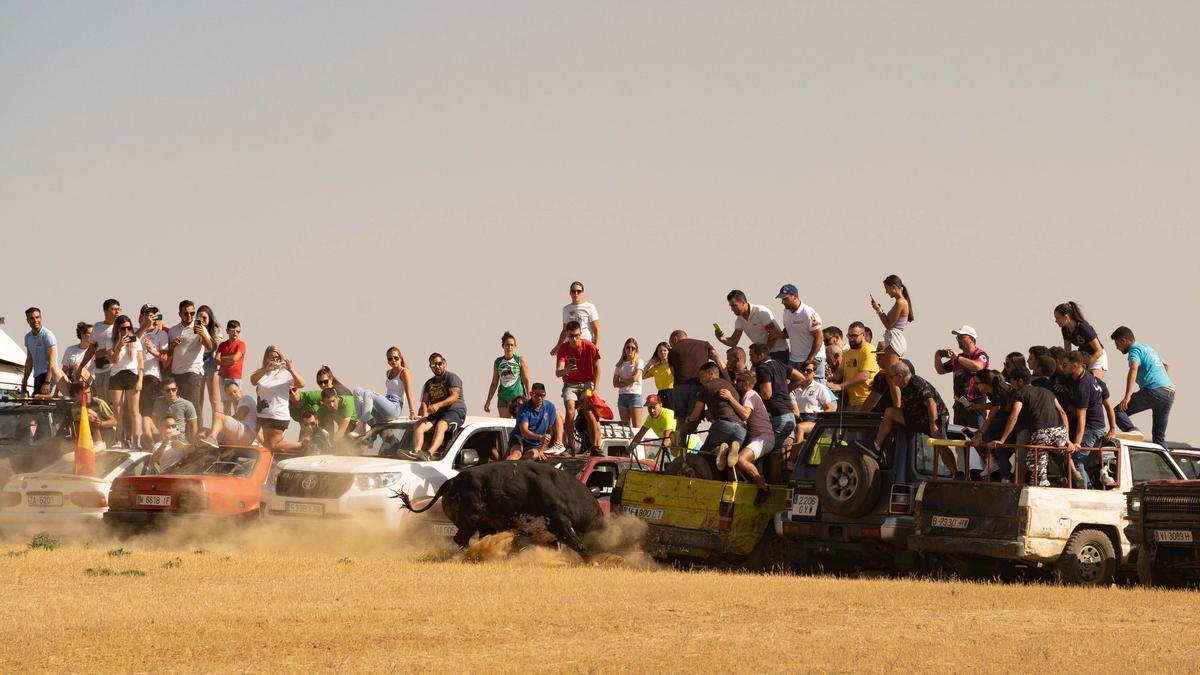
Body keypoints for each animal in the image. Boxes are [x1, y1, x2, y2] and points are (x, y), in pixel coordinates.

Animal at [393, 458, 604, 554]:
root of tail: (452, 481)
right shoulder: (560, 523)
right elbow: (578, 544)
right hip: (469, 522)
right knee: (460, 539)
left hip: (483, 525)